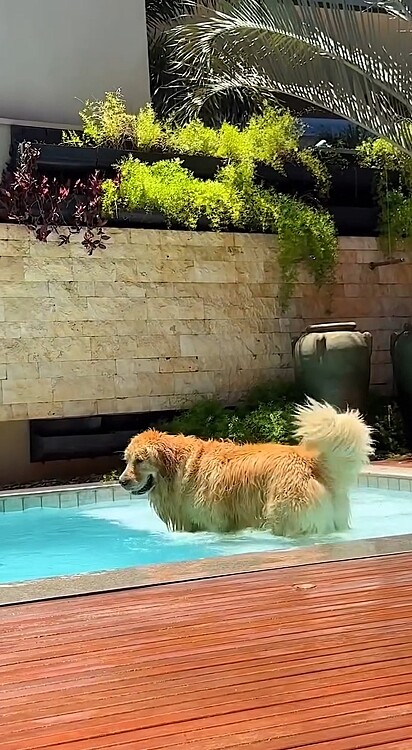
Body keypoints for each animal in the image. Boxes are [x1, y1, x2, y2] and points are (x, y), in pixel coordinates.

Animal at [118, 402, 374, 536]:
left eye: (140, 460)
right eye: (127, 460)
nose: (121, 481)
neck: (183, 468)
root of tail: (310, 461)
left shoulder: (213, 522)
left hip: (284, 514)